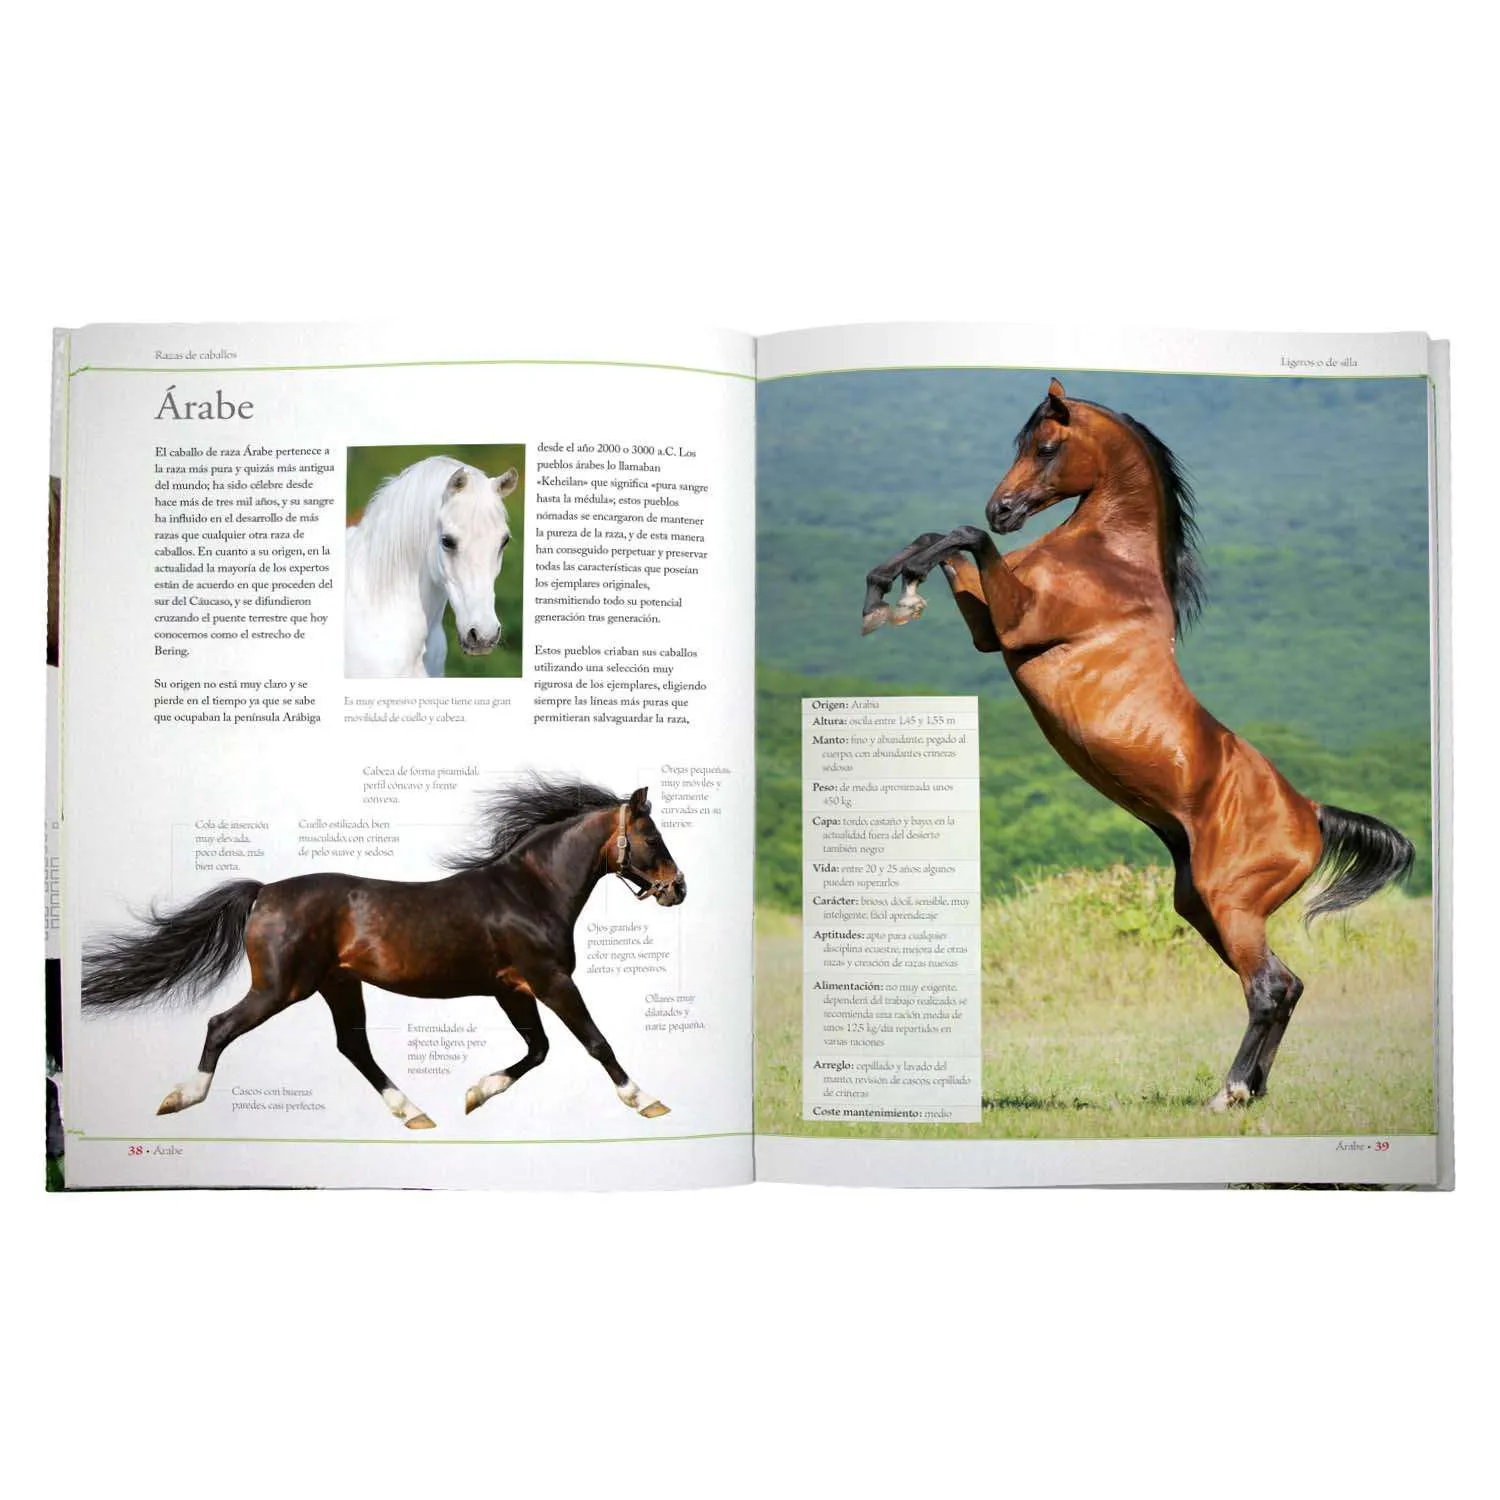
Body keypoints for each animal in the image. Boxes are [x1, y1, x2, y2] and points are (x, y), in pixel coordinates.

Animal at [82, 779, 686, 1128]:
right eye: (652, 838)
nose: (678, 889)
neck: (530, 891)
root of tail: (264, 891)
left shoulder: (511, 988)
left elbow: (538, 1050)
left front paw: (474, 1095)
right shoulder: (549, 979)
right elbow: (594, 1041)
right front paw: (645, 1100)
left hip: (338, 985)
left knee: (354, 1048)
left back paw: (414, 1113)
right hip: (280, 988)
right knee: (220, 1025)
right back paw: (180, 1098)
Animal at [862, 378, 1415, 1111]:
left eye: (1046, 446)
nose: (1002, 509)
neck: (1108, 559)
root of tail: (1313, 814)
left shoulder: (1014, 622)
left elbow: (962, 538)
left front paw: (891, 596)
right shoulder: (991, 628)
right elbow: (943, 539)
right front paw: (887, 593)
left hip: (1231, 904)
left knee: (1268, 987)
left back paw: (1227, 1094)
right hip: (1203, 906)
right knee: (1287, 984)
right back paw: (1251, 1091)